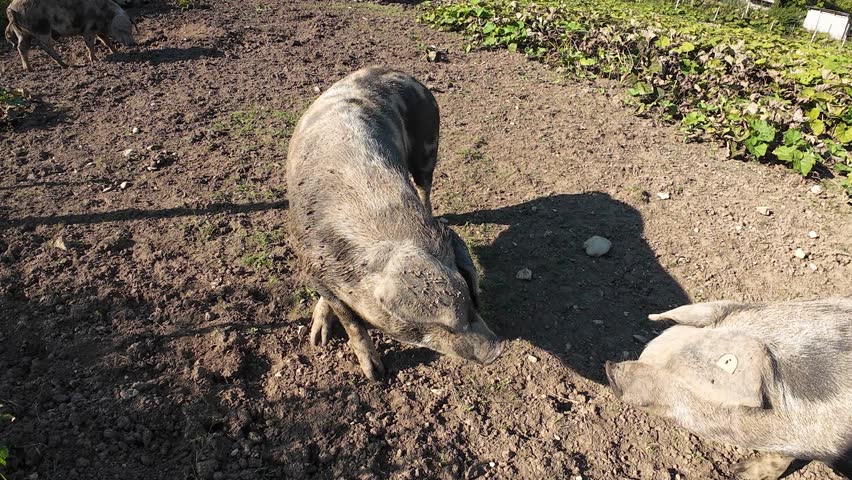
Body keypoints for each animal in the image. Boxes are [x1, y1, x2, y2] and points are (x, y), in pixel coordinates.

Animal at [4, 0, 135, 71]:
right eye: (121, 30)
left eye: (130, 28)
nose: (133, 43)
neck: (104, 15)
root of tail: (11, 9)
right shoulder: (88, 29)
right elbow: (90, 44)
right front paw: (95, 60)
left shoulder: (99, 30)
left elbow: (106, 41)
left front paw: (116, 52)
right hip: (41, 29)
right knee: (46, 47)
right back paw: (65, 65)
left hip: (22, 33)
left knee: (21, 47)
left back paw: (29, 69)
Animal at [286, 65, 502, 380]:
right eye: (434, 325)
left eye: (471, 302)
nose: (496, 350)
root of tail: (397, 71)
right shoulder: (311, 266)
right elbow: (351, 321)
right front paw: (374, 374)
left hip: (428, 143)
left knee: (425, 185)